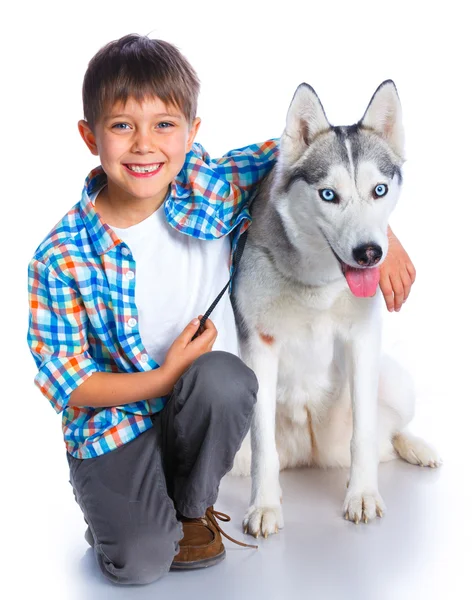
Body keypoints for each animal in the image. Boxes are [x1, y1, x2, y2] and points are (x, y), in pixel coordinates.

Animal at [230, 81, 440, 540]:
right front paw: (264, 505)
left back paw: (415, 446)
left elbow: (363, 433)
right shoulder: (258, 347)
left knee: (385, 433)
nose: (371, 253)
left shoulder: (361, 341)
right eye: (329, 195)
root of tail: (312, 455)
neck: (317, 284)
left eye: (379, 190)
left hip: (395, 382)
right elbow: (262, 444)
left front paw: (361, 495)